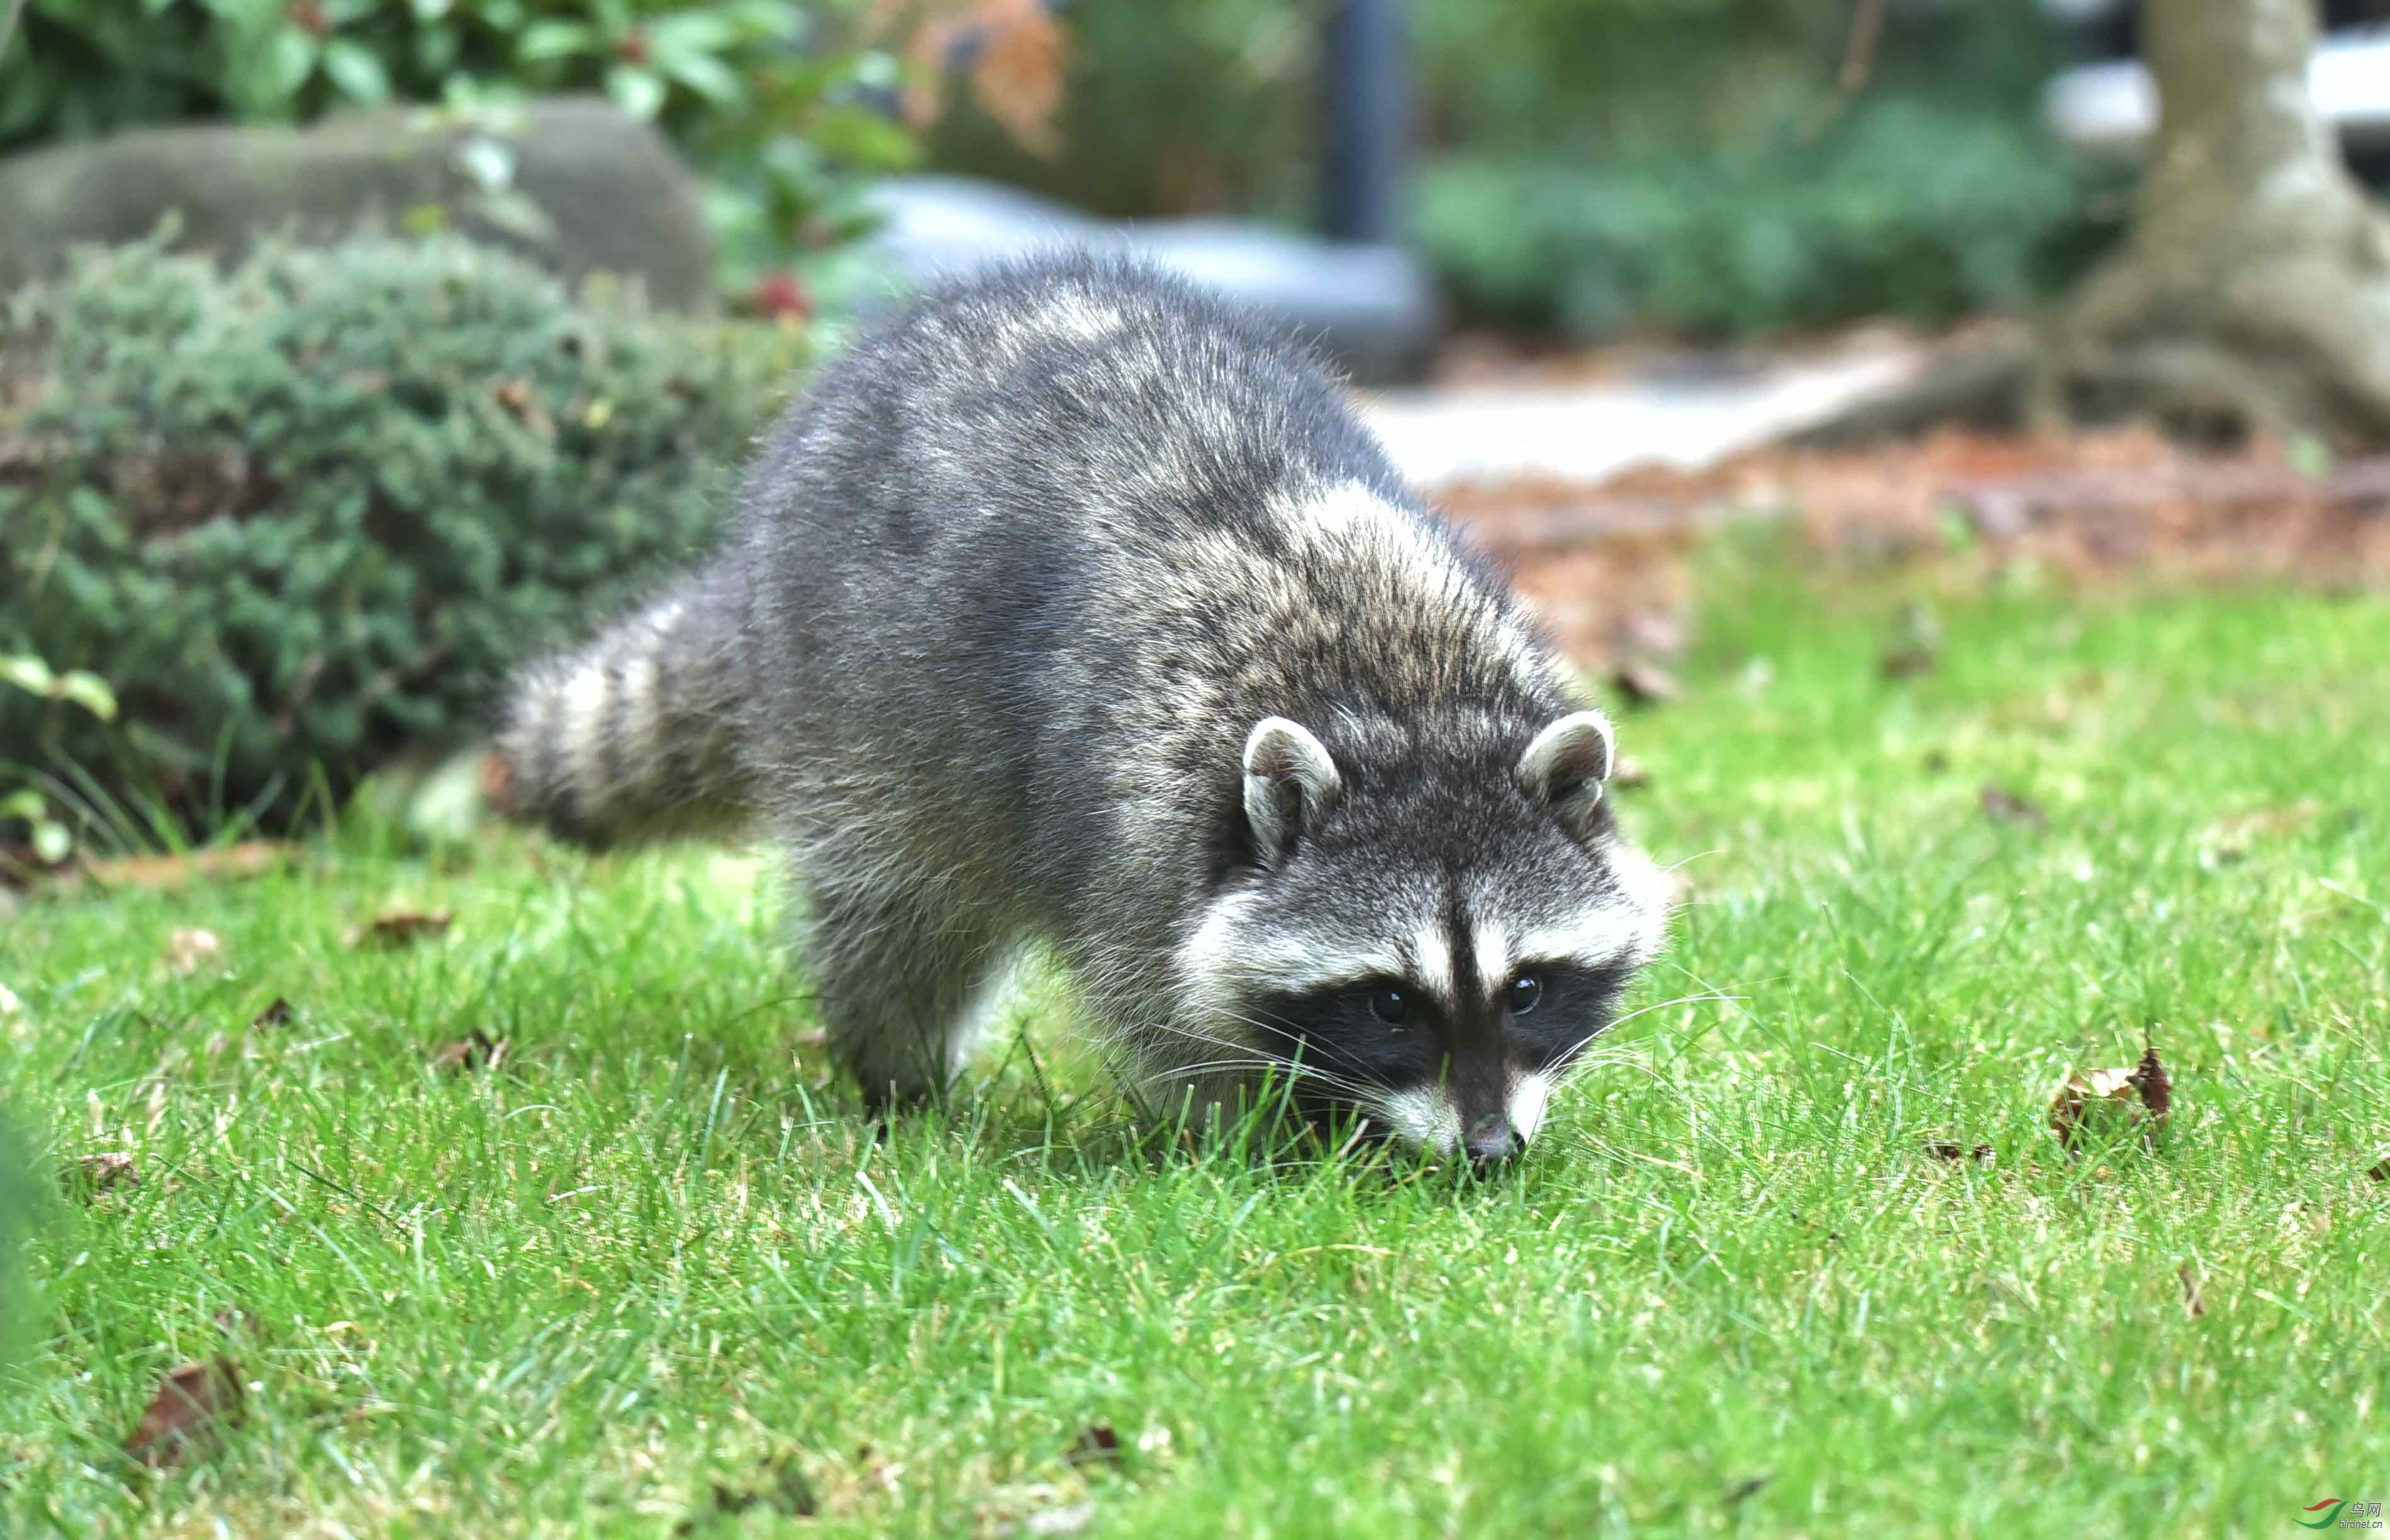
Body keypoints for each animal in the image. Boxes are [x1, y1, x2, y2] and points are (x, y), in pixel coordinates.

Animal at [494, 255, 1673, 1167]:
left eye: (1527, 989)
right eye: (1389, 999)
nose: (1488, 1152)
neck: (1398, 702)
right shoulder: (1134, 823)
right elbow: (1163, 1006)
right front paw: (1274, 1139)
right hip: (851, 703)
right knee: (892, 919)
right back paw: (896, 1081)